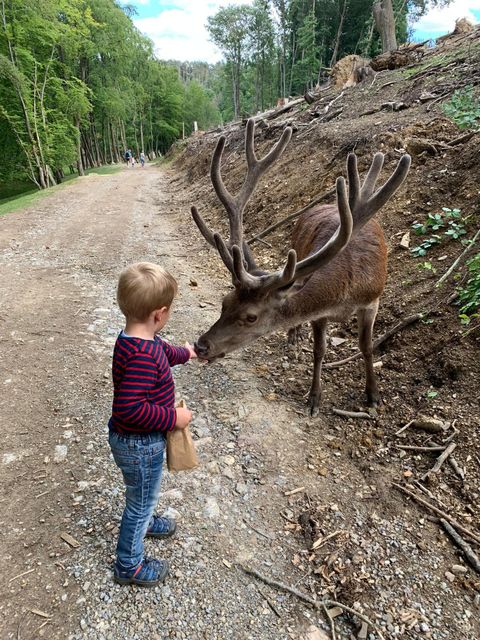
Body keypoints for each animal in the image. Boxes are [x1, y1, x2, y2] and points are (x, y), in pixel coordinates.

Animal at [191, 119, 411, 415]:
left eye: (251, 317)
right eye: (224, 301)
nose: (201, 345)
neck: (344, 292)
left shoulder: (372, 300)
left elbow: (366, 348)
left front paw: (373, 395)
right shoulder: (320, 314)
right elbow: (319, 351)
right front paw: (314, 397)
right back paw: (293, 336)